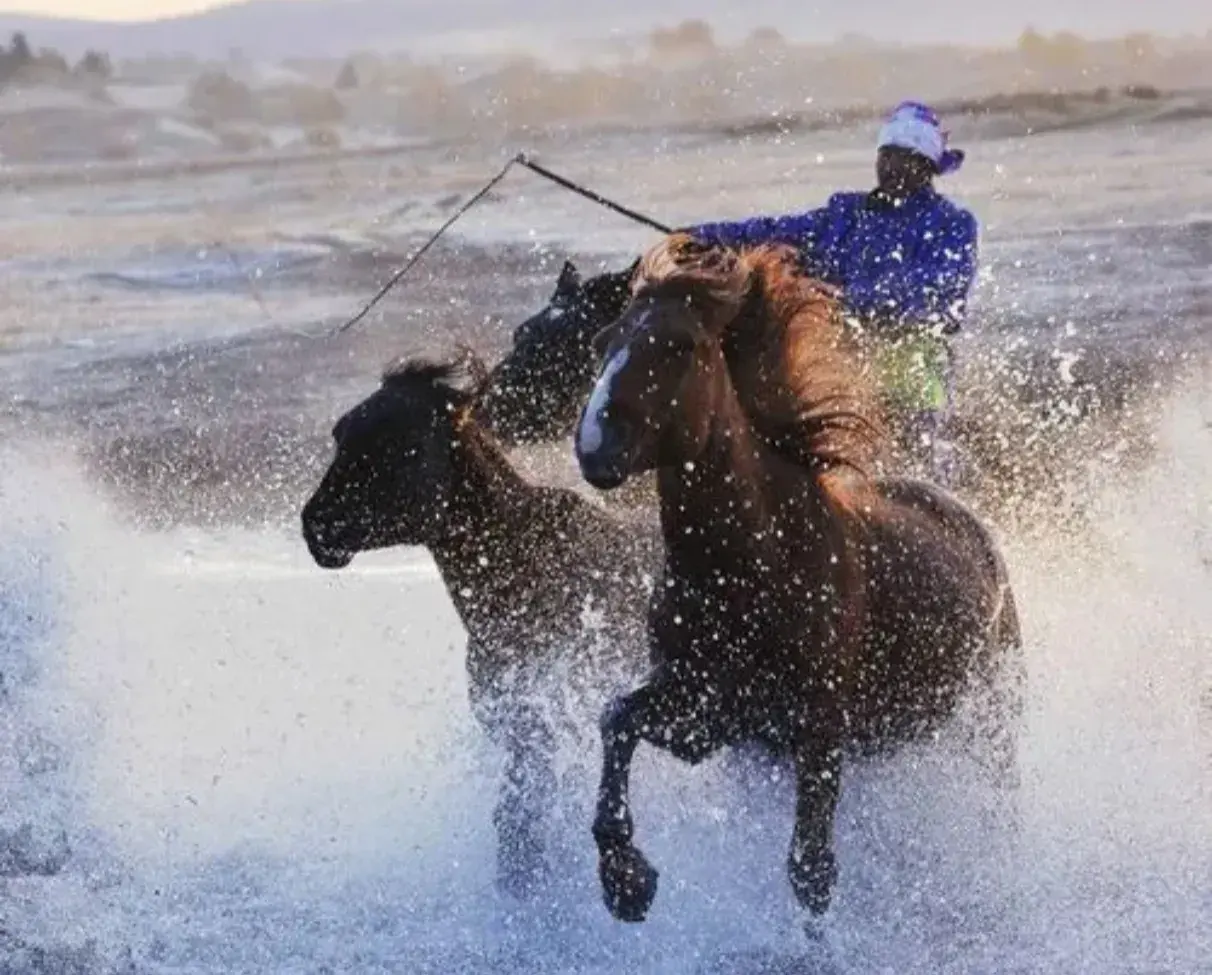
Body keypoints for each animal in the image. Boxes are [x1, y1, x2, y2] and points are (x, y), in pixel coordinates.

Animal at [572, 237, 1018, 931]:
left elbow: (811, 870)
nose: (594, 444)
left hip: (991, 718)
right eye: (602, 341)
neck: (748, 570)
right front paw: (626, 880)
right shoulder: (712, 717)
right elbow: (617, 718)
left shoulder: (818, 725)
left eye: (681, 346)